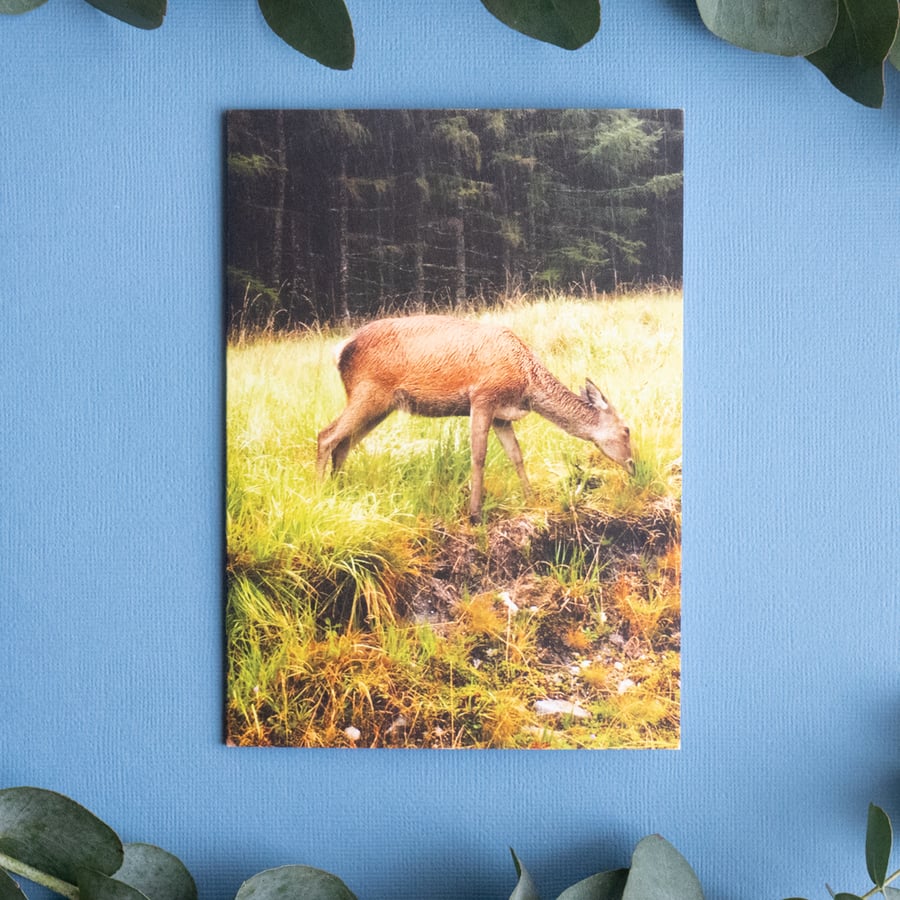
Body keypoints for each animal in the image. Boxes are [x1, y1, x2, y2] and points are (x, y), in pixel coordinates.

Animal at [316, 314, 636, 522]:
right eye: (627, 429)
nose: (634, 466)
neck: (526, 383)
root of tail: (339, 350)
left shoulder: (502, 415)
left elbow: (516, 454)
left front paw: (531, 499)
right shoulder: (482, 396)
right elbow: (479, 454)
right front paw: (475, 513)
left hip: (381, 405)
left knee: (344, 442)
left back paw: (340, 490)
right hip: (368, 392)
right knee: (326, 435)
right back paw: (322, 491)